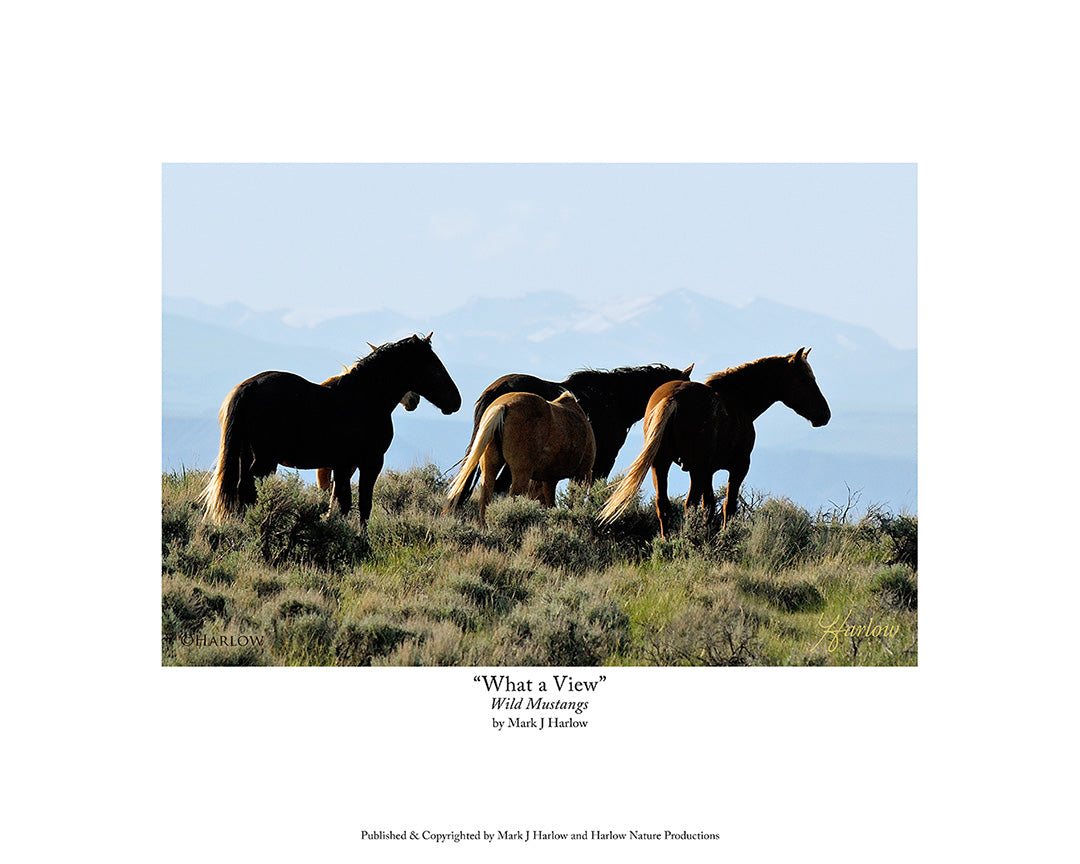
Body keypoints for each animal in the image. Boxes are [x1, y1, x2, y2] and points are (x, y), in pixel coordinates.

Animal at [201, 333, 461, 524]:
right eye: (434, 368)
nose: (456, 401)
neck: (363, 398)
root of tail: (250, 386)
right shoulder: (370, 463)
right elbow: (361, 504)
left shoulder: (343, 466)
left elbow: (340, 503)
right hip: (265, 460)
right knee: (247, 490)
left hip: (248, 456)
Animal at [445, 391, 596, 527]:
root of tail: (503, 406)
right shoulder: (581, 474)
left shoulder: (549, 479)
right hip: (521, 474)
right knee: (513, 499)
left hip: (490, 469)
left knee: (485, 500)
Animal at [598, 348, 830, 538]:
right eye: (805, 379)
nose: (824, 415)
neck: (738, 400)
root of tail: (673, 399)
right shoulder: (738, 467)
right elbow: (728, 505)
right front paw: (725, 536)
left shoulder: (708, 472)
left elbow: (709, 506)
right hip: (695, 468)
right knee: (688, 504)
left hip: (661, 464)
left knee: (663, 504)